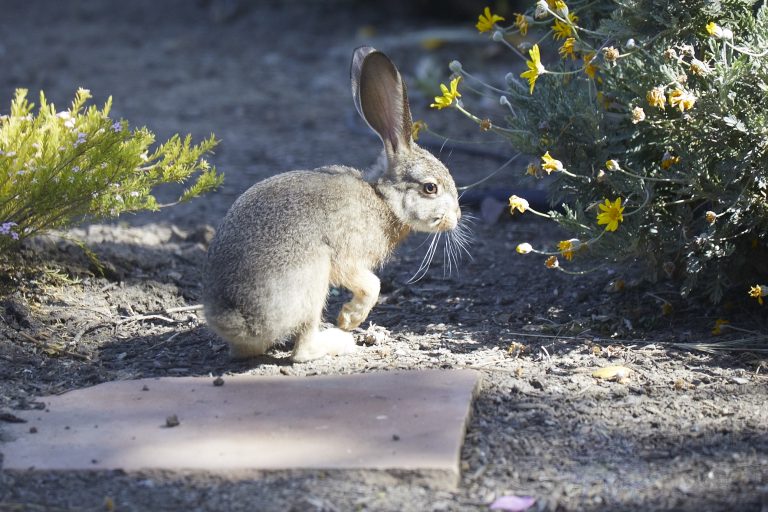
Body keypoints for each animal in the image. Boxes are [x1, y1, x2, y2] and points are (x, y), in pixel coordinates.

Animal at [202, 46, 462, 363]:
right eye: (430, 188)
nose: (456, 217)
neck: (383, 199)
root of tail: (240, 318)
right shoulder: (347, 257)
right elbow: (372, 285)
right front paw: (349, 319)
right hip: (313, 280)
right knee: (303, 349)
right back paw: (341, 340)